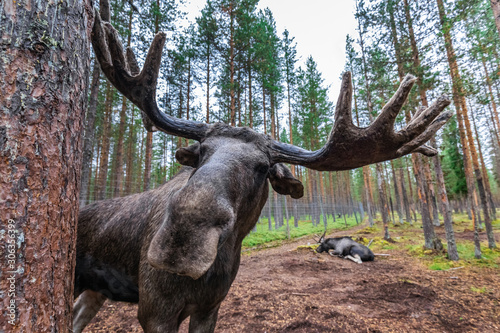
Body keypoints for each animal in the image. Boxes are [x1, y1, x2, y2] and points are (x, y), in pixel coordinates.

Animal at [74, 1, 454, 330]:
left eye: (262, 168)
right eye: (201, 153)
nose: (182, 239)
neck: (218, 266)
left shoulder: (209, 309)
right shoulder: (155, 311)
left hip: (95, 291)